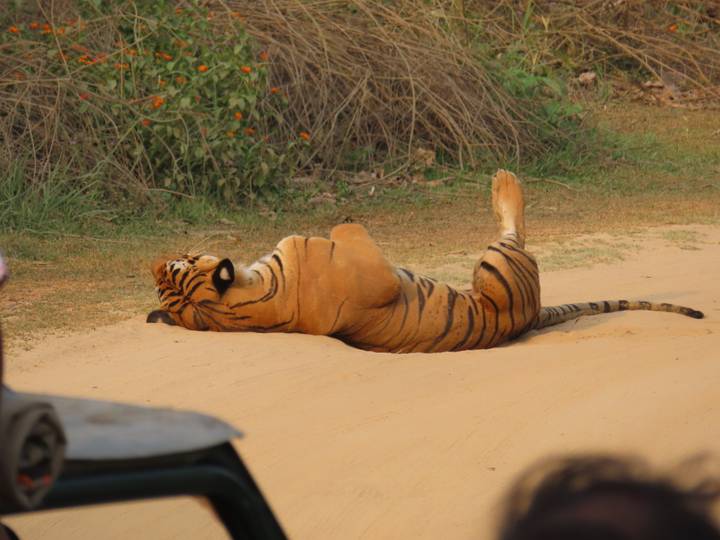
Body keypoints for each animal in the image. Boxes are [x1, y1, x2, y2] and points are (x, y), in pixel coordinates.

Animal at [147, 170, 703, 353]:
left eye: (173, 265)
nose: (154, 259)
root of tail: (528, 317)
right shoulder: (375, 275)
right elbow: (348, 234)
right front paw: (340, 219)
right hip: (497, 264)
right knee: (514, 230)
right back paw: (504, 180)